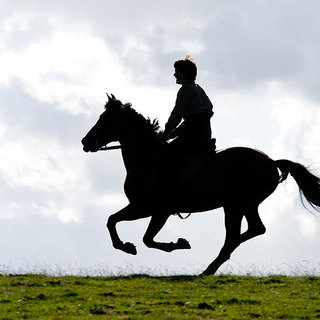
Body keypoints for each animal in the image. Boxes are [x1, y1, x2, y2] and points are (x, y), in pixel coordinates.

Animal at [80, 93, 320, 276]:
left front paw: (174, 244)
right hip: (245, 205)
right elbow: (113, 221)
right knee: (253, 230)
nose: (85, 142)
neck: (148, 159)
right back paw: (213, 265)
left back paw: (210, 267)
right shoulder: (142, 208)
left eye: (105, 119)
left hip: (234, 206)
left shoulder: (154, 209)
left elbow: (144, 237)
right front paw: (127, 246)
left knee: (235, 236)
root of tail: (271, 162)